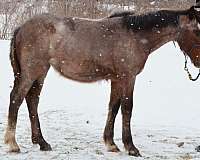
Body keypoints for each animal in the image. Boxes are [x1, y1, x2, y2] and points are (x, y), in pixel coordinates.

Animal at [4, 5, 200, 156]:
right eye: (197, 31)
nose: (199, 62)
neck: (135, 36)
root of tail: (21, 28)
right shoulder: (128, 77)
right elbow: (127, 108)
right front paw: (131, 147)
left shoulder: (117, 80)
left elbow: (113, 107)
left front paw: (111, 144)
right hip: (31, 72)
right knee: (16, 99)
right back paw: (13, 144)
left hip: (40, 73)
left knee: (32, 100)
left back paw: (42, 142)